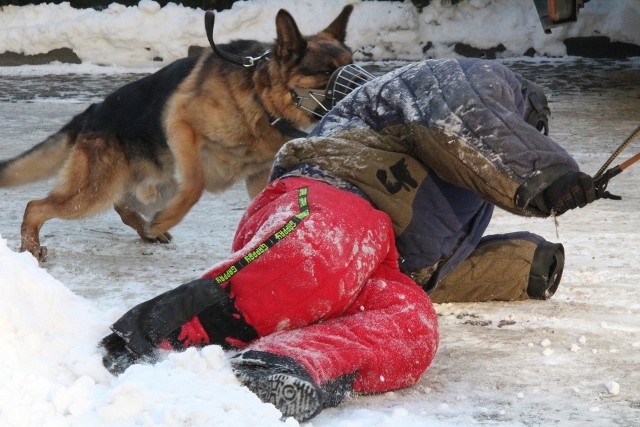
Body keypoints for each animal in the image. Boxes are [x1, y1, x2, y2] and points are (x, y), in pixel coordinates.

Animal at [0, 5, 356, 260]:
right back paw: (31, 247)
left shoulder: (257, 176)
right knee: (36, 205)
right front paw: (168, 219)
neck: (259, 97)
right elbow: (195, 185)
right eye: (326, 72)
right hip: (96, 190)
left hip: (148, 182)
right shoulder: (182, 126)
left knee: (121, 204)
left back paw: (147, 229)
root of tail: (94, 111)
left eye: (351, 62)